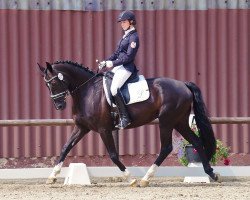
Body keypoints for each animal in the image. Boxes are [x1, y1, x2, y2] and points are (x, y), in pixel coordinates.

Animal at [38, 60, 220, 186]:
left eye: (53, 82)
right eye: (46, 85)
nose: (59, 106)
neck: (88, 91)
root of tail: (183, 84)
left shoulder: (104, 129)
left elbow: (113, 155)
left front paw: (130, 179)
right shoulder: (82, 128)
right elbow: (65, 148)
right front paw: (52, 176)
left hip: (166, 121)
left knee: (166, 147)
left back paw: (145, 179)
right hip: (179, 122)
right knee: (196, 141)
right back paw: (211, 173)